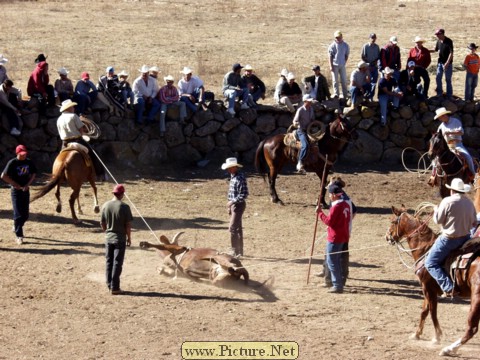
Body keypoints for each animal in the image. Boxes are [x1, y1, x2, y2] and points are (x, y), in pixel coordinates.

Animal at [384, 207, 480, 356]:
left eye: (393, 221)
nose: (387, 236)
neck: (424, 248)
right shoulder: (425, 288)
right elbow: (425, 311)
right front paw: (416, 334)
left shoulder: (429, 288)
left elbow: (433, 312)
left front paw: (437, 337)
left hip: (476, 297)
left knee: (472, 328)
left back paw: (448, 349)